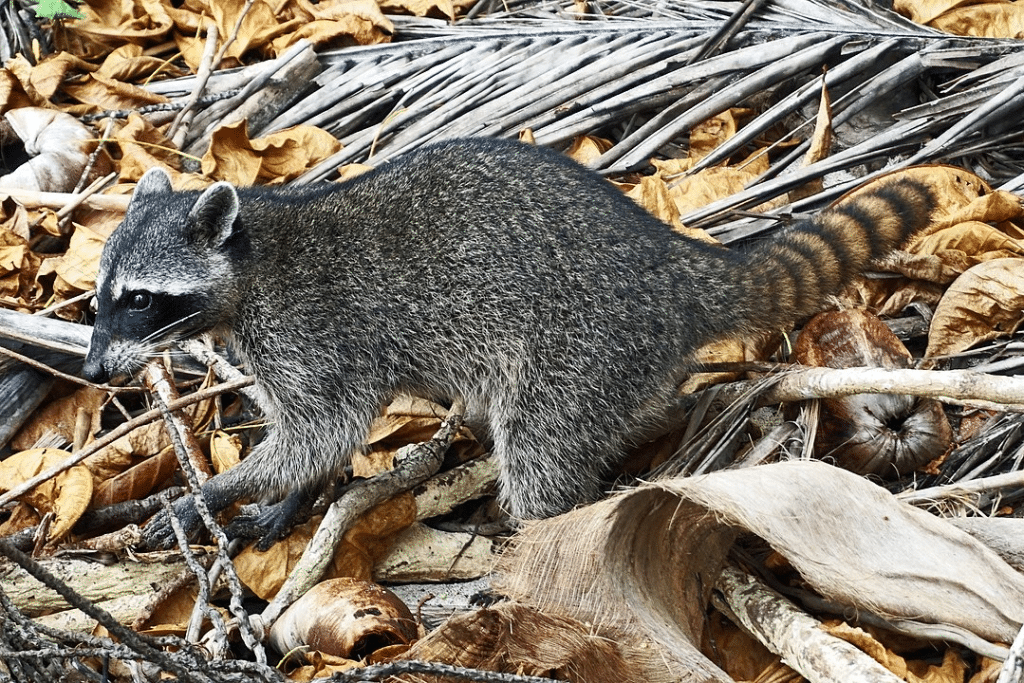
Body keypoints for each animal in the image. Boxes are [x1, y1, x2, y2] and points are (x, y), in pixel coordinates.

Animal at [82, 138, 934, 546]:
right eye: (102, 296)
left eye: (139, 299)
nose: (91, 369)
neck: (250, 257)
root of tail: (668, 260)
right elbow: (321, 440)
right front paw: (286, 497)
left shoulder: (311, 328)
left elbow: (323, 428)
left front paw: (214, 490)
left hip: (585, 342)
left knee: (539, 452)